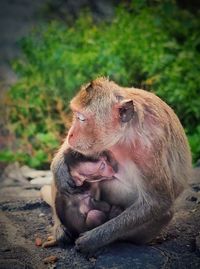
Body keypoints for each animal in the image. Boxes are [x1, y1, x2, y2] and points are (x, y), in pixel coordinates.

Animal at [50, 77, 191, 251]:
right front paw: (59, 170)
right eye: (75, 115)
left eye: (81, 118)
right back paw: (60, 227)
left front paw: (92, 239)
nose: (70, 134)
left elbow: (158, 202)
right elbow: (72, 152)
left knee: (165, 214)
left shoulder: (149, 147)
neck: (125, 135)